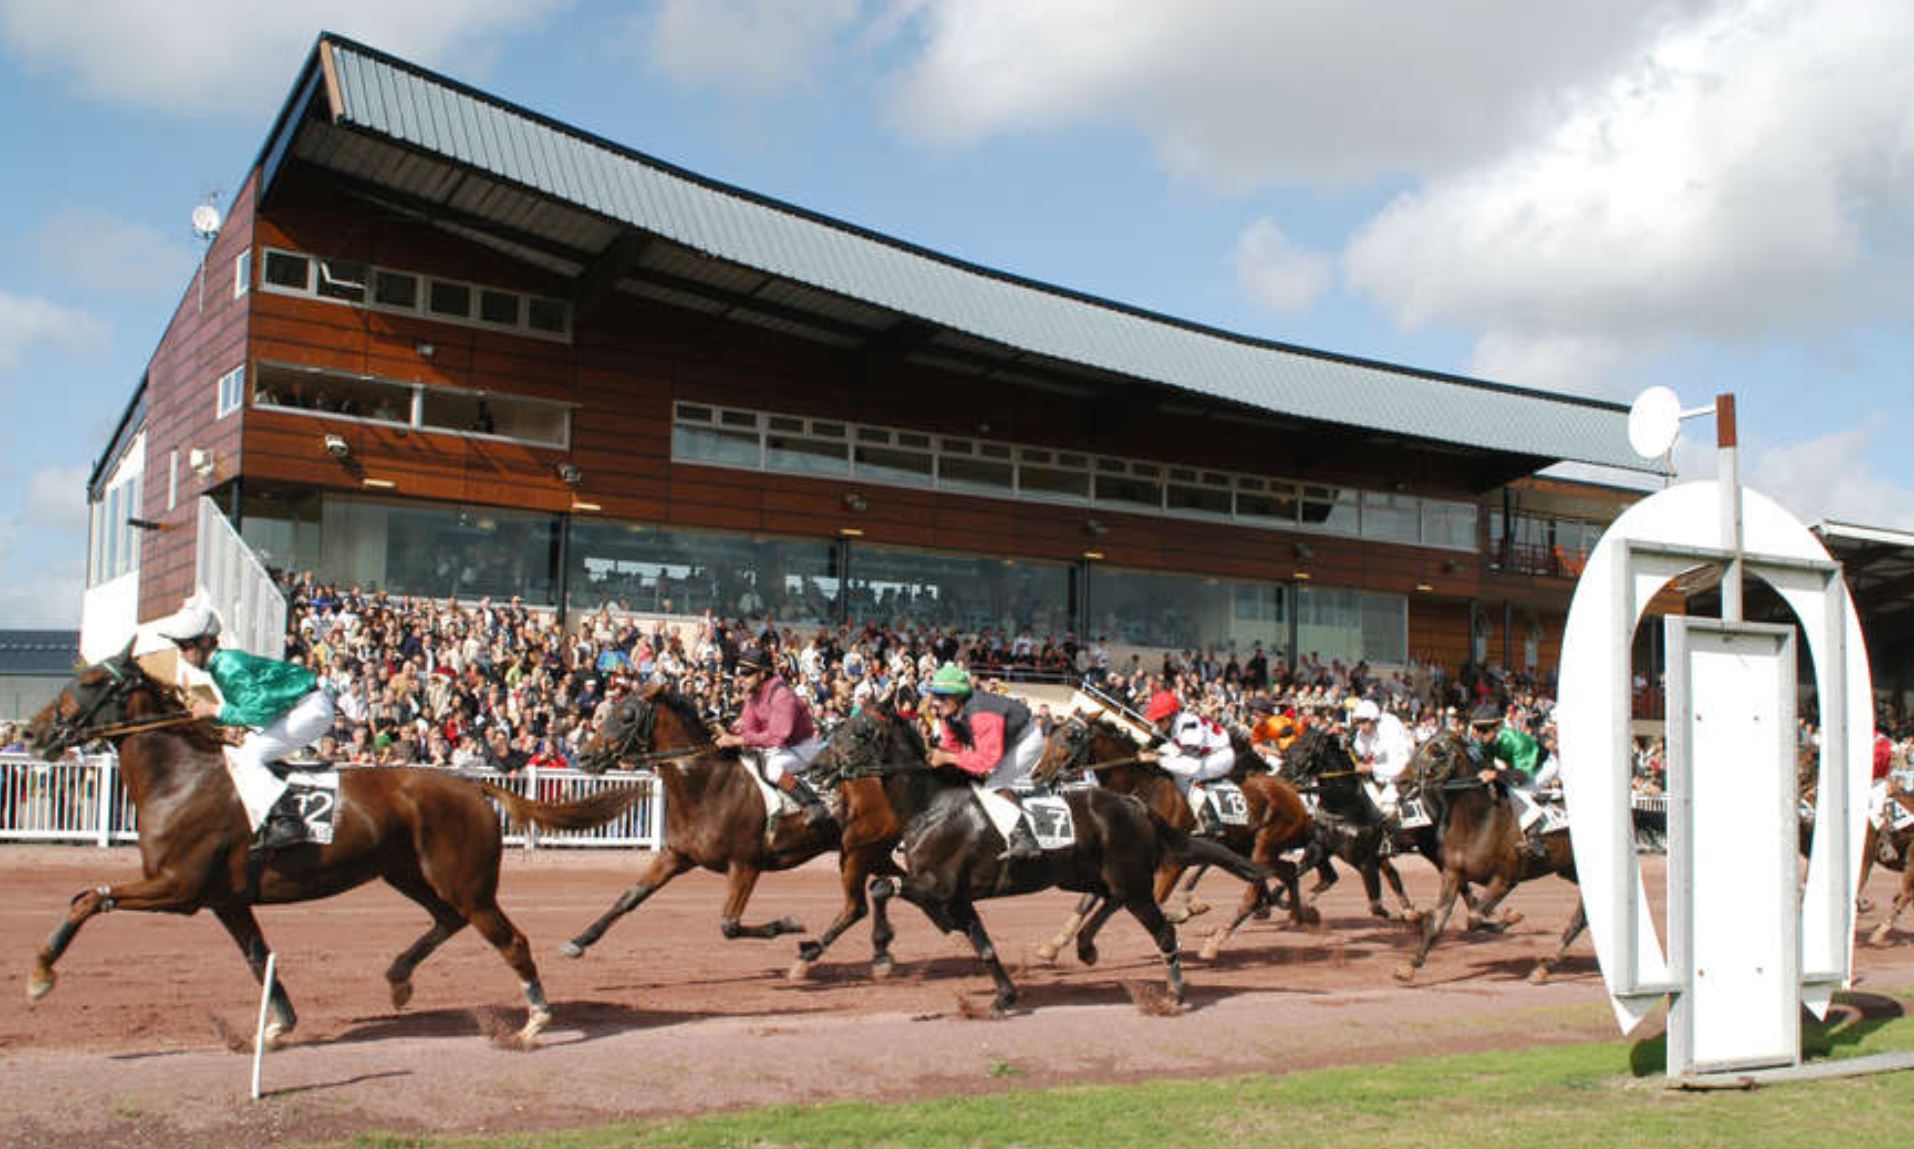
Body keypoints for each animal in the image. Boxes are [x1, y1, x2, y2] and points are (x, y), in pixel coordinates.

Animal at [24, 651, 650, 1049]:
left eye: (88, 682)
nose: (30, 734)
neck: (182, 778)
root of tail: (472, 785)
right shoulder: (225, 899)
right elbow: (258, 958)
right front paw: (276, 1028)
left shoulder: (178, 888)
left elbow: (87, 898)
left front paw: (40, 975)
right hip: (409, 873)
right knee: (446, 920)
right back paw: (399, 976)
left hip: (466, 882)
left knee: (509, 940)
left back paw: (535, 1020)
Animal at [558, 685, 876, 957]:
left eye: (627, 716)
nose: (584, 757)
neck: (707, 785)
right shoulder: (676, 855)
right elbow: (630, 896)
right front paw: (579, 940)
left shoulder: (745, 864)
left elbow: (729, 925)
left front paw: (788, 922)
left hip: (856, 853)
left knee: (858, 905)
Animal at [1033, 720, 1316, 968]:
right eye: (1050, 735)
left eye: (1070, 737)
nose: (1037, 774)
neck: (1143, 787)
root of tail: (1292, 792)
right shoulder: (1115, 859)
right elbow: (1088, 900)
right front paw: (1052, 947)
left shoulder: (1172, 862)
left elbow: (1152, 898)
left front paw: (1185, 915)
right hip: (1247, 848)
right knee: (1288, 871)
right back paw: (1297, 918)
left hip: (1263, 846)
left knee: (1254, 894)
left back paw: (1216, 942)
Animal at [1385, 731, 1577, 980]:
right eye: (1419, 745)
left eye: (1437, 751)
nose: (1401, 781)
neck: (1479, 821)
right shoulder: (1453, 874)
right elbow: (1438, 920)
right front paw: (1410, 966)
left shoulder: (1506, 879)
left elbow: (1474, 918)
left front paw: (1510, 917)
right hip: (1570, 871)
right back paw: (1545, 967)